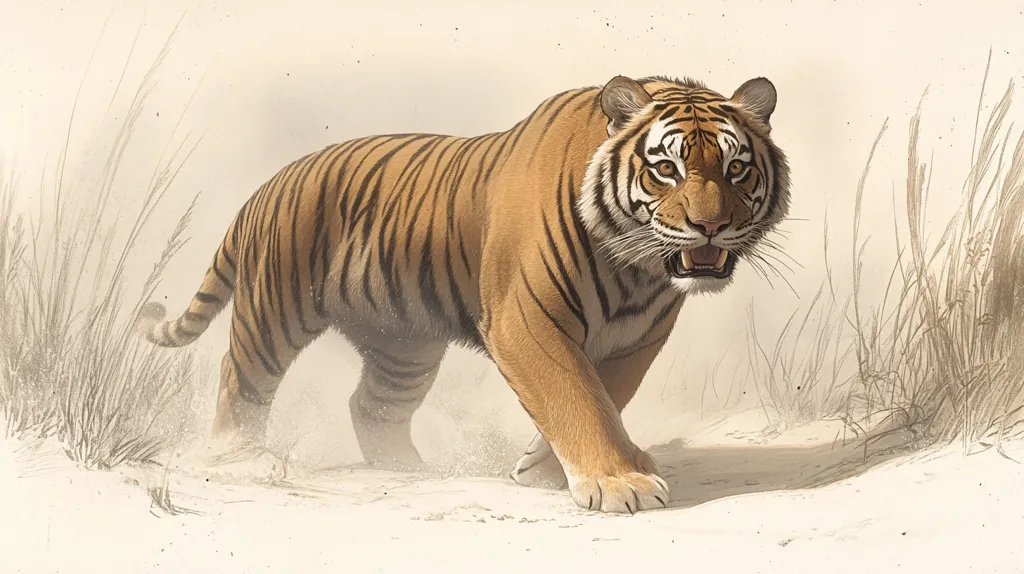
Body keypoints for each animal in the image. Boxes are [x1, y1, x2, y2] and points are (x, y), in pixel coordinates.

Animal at [136, 73, 791, 514]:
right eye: (666, 169)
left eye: (736, 169)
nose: (710, 226)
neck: (635, 269)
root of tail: (265, 186)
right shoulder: (525, 322)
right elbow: (575, 395)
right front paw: (617, 484)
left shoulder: (639, 339)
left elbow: (606, 397)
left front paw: (542, 469)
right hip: (274, 312)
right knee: (240, 383)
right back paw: (240, 460)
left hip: (403, 345)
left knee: (371, 406)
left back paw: (413, 471)